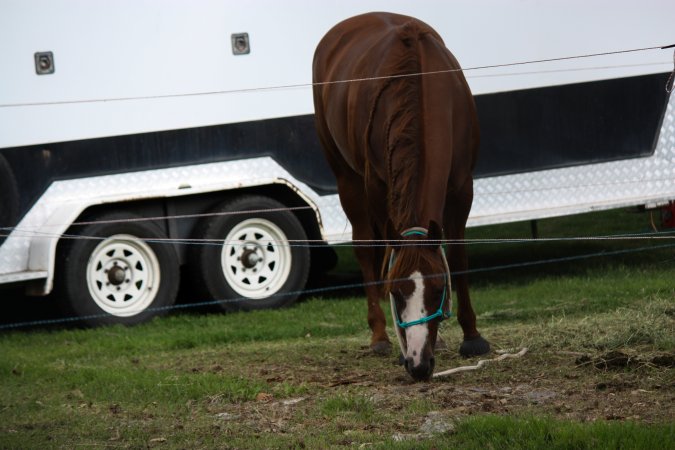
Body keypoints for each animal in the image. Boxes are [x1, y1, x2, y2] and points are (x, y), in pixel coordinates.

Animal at [312, 12, 490, 381]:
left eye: (438, 289)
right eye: (396, 293)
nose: (418, 365)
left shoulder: (462, 187)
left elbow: (458, 256)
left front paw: (472, 336)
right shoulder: (377, 190)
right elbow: (382, 253)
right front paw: (394, 342)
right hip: (346, 179)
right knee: (365, 247)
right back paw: (379, 336)